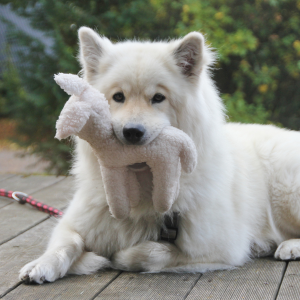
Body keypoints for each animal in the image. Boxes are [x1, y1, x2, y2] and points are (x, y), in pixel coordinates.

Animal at [19, 26, 300, 284]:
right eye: (118, 96)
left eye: (158, 98)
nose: (132, 132)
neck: (141, 188)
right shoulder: (75, 222)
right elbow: (65, 243)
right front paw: (41, 265)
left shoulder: (218, 248)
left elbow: (151, 253)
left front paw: (117, 257)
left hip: (286, 194)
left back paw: (288, 246)